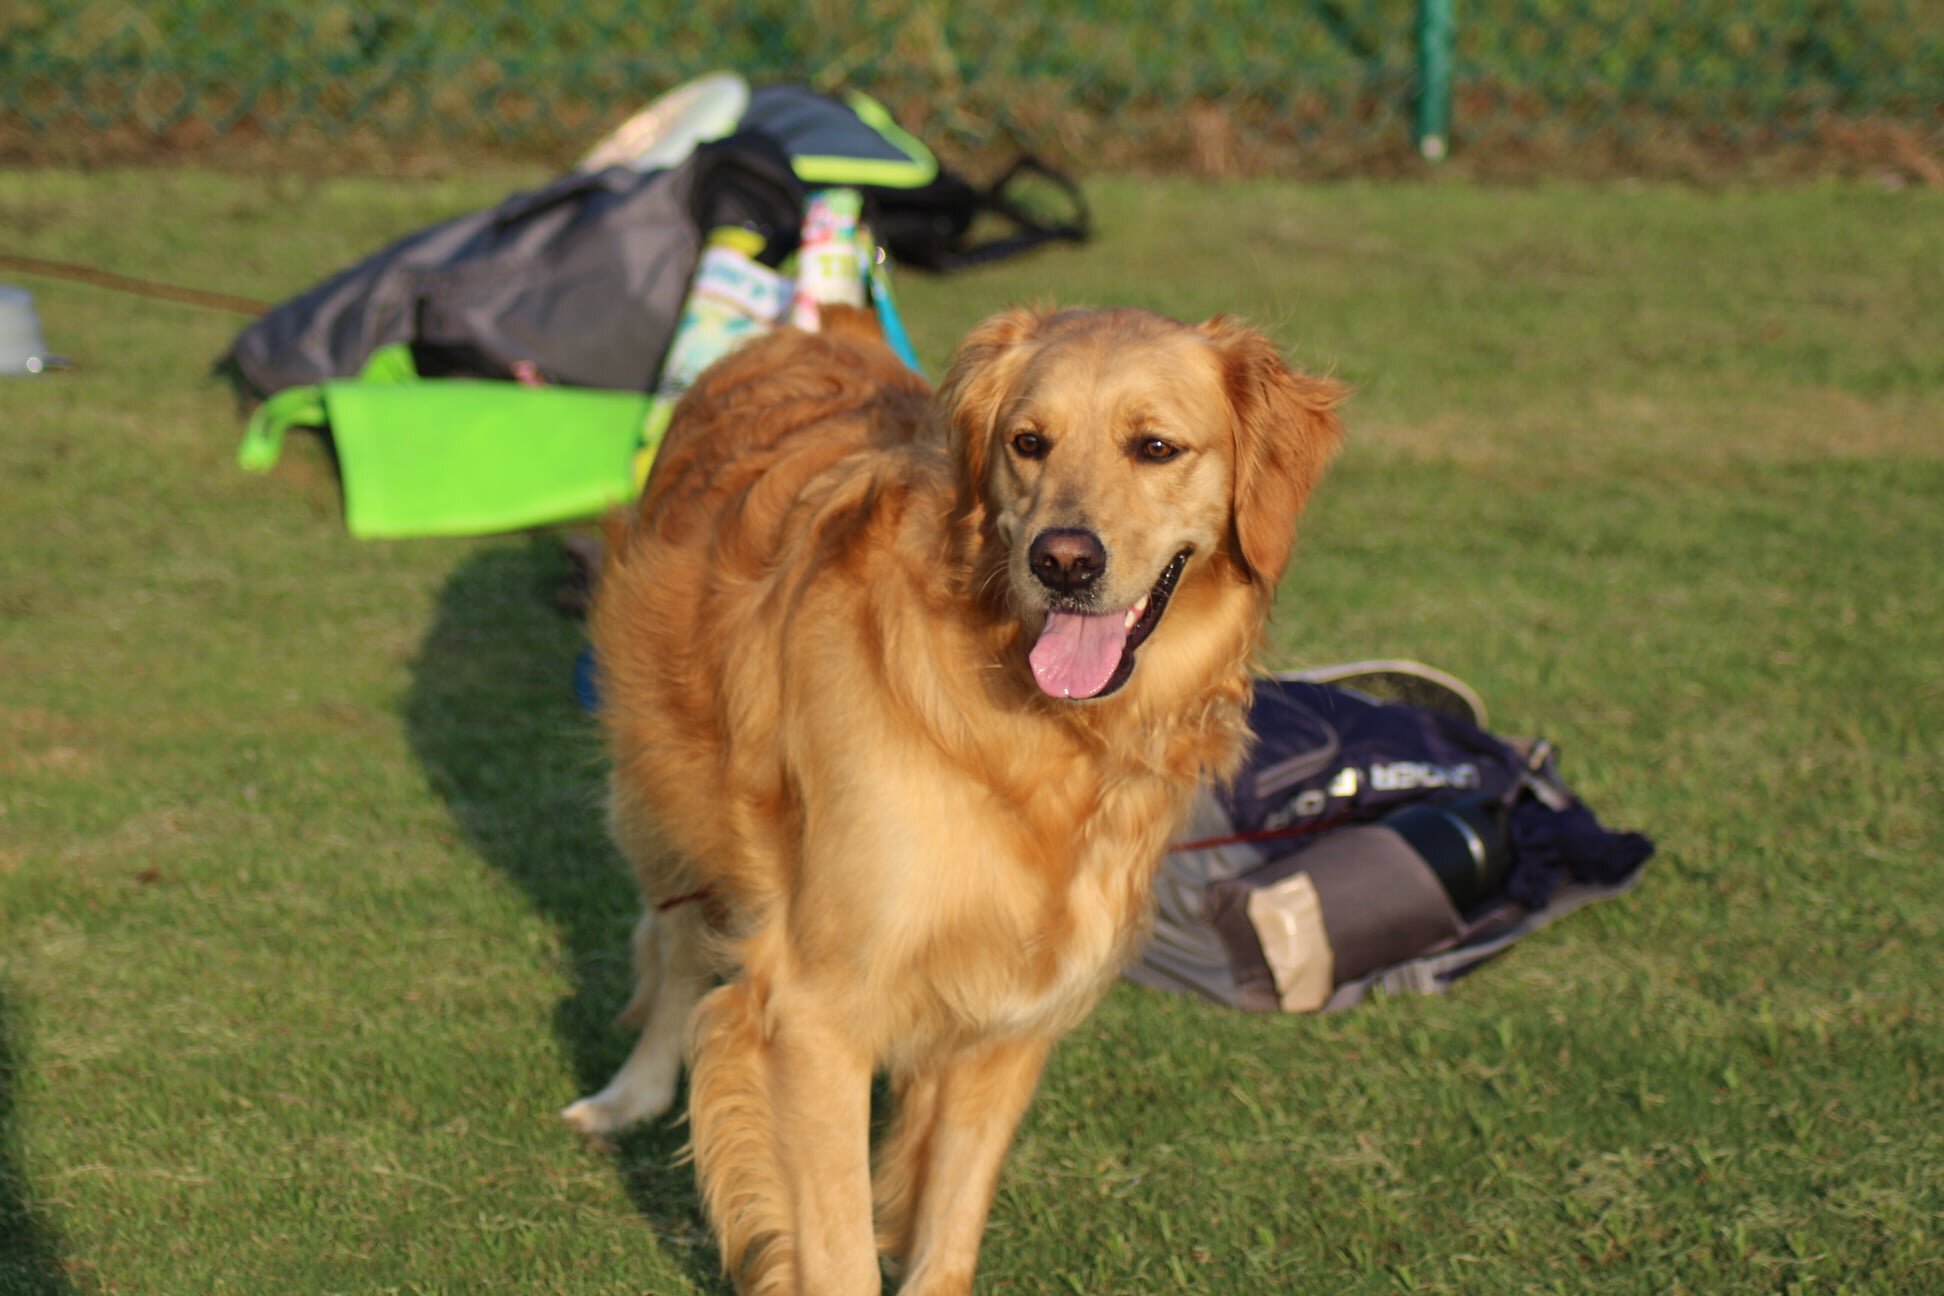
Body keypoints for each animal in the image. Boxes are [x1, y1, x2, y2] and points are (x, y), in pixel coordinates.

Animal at [567, 306, 1337, 1296]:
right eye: (1028, 442)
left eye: (1156, 447)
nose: (1062, 561)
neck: (1041, 739)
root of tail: (808, 325)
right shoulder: (815, 1011)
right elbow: (839, 1255)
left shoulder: (1015, 1010)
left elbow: (949, 1230)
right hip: (659, 799)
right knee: (671, 951)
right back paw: (628, 1094)